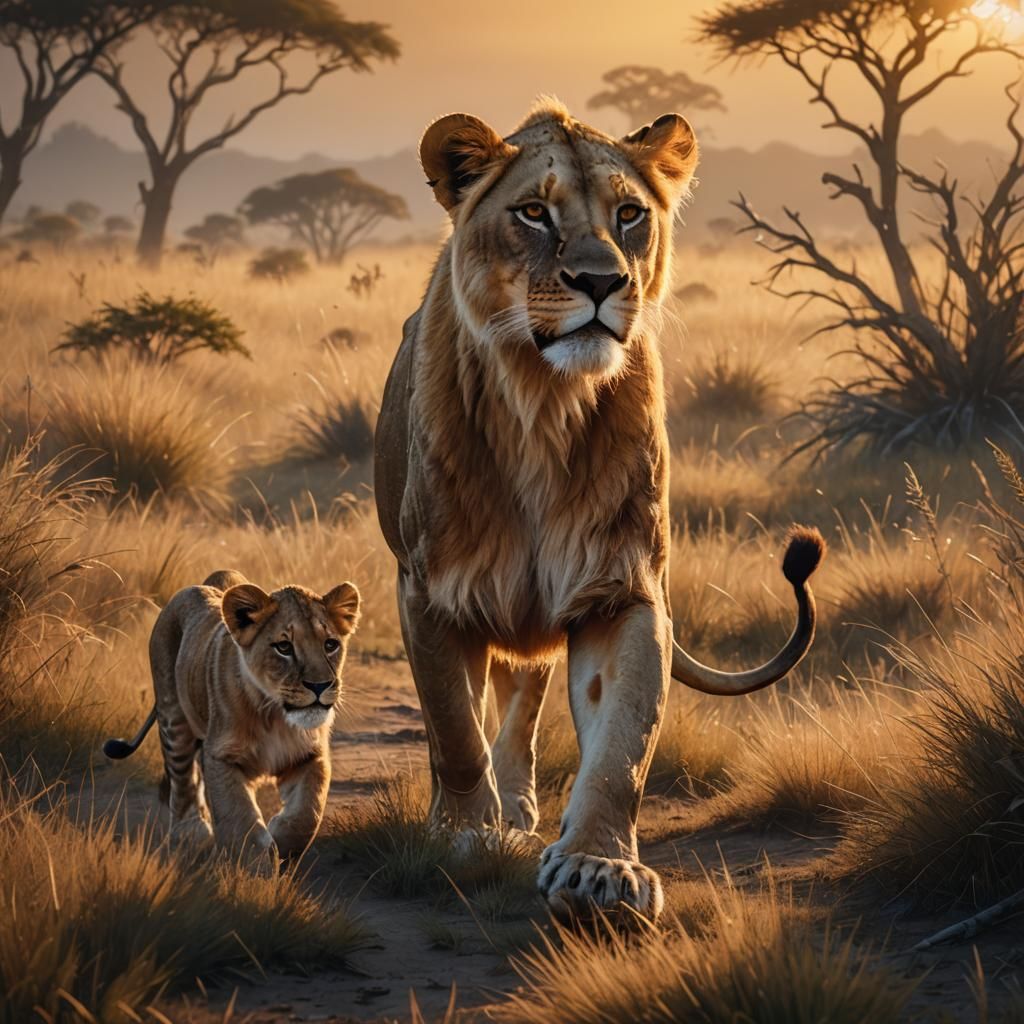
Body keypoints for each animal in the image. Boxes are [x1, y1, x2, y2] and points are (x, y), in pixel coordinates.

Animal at [103, 570, 361, 872]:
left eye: (330, 644)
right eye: (284, 647)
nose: (320, 686)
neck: (276, 716)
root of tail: (199, 587)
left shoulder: (309, 755)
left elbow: (308, 812)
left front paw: (280, 840)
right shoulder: (221, 755)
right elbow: (240, 818)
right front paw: (255, 869)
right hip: (173, 717)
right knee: (182, 779)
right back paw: (191, 833)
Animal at [373, 98, 825, 923]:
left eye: (629, 214)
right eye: (532, 212)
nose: (600, 280)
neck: (544, 404)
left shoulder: (619, 587)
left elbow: (622, 745)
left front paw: (598, 867)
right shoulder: (431, 590)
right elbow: (453, 727)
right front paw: (464, 837)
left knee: (524, 699)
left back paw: (521, 806)